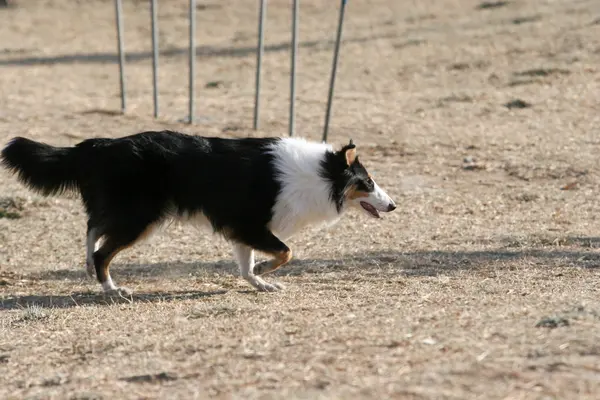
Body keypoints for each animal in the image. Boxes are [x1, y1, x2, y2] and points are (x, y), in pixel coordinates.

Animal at [3, 131, 398, 294]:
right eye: (368, 181)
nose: (394, 205)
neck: (320, 174)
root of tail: (99, 145)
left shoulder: (244, 229)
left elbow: (246, 264)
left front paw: (260, 281)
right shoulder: (250, 224)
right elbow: (286, 251)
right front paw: (266, 271)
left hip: (126, 213)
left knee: (92, 229)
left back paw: (88, 267)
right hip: (139, 218)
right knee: (102, 250)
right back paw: (112, 289)